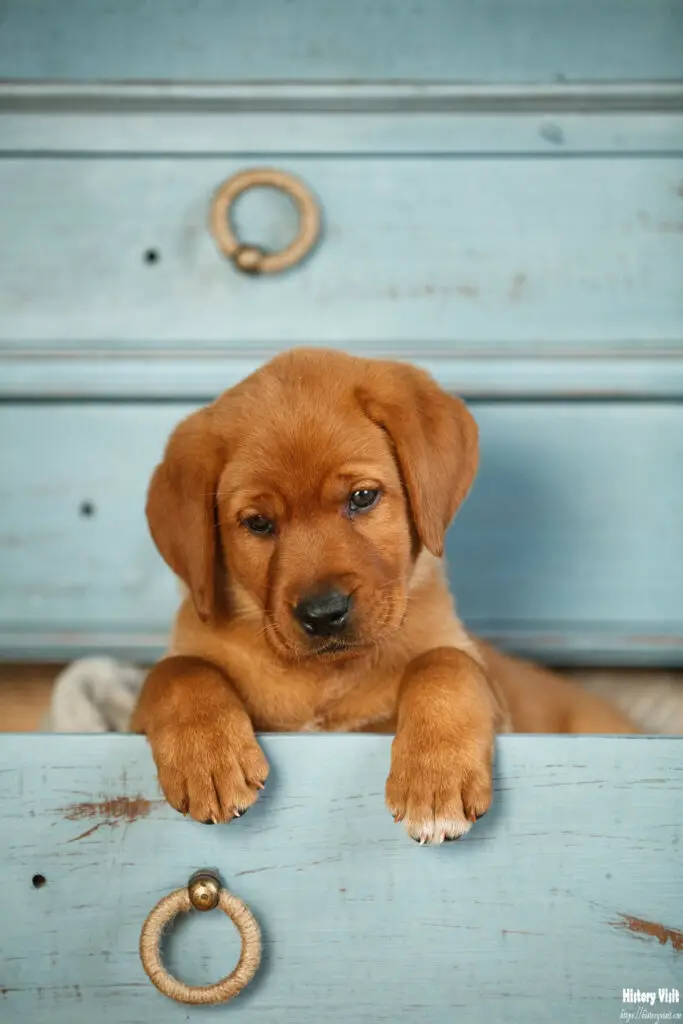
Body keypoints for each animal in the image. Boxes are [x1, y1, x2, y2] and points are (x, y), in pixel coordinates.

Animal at [132, 348, 634, 843]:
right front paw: (208, 756)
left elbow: (444, 662)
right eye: (257, 523)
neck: (324, 679)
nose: (324, 613)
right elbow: (176, 671)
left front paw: (436, 779)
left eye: (362, 497)